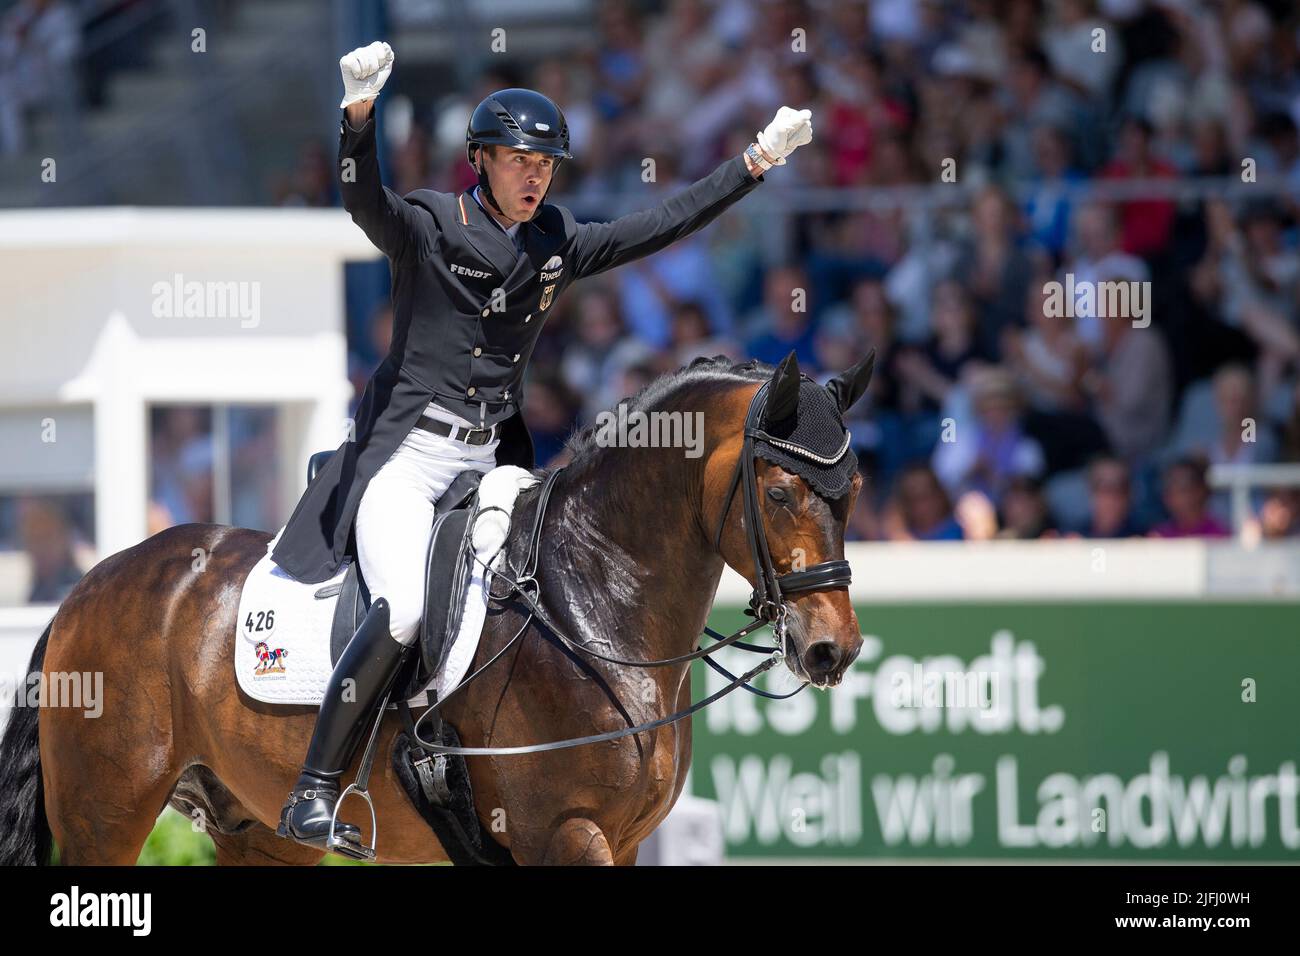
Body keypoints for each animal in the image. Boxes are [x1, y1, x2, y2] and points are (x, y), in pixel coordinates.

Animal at [2, 353, 873, 868]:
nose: (833, 649)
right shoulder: (566, 835)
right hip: (105, 819)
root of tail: (90, 584)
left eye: (856, 490)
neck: (590, 606)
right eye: (779, 492)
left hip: (253, 833)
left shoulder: (622, 843)